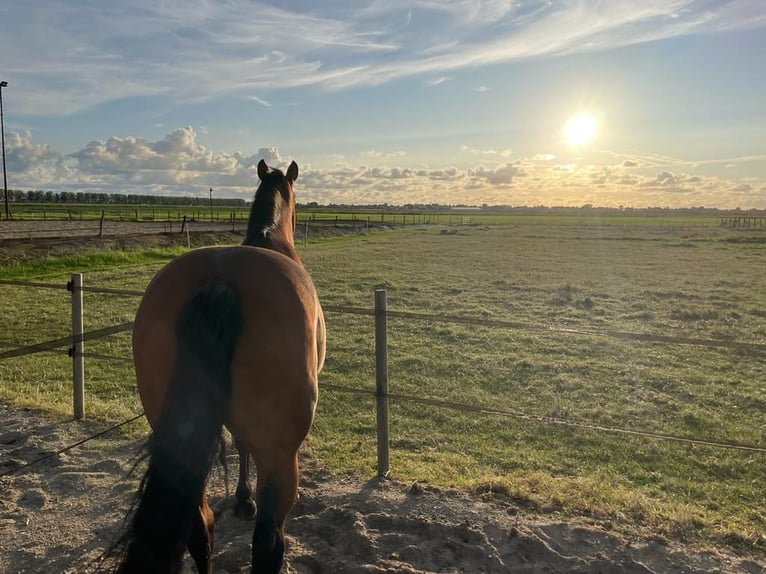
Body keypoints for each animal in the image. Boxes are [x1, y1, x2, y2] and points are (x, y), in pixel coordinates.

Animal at [111, 160, 324, 572]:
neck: (269, 237)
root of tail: (220, 281)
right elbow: (243, 445)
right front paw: (245, 499)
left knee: (199, 525)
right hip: (280, 457)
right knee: (267, 543)